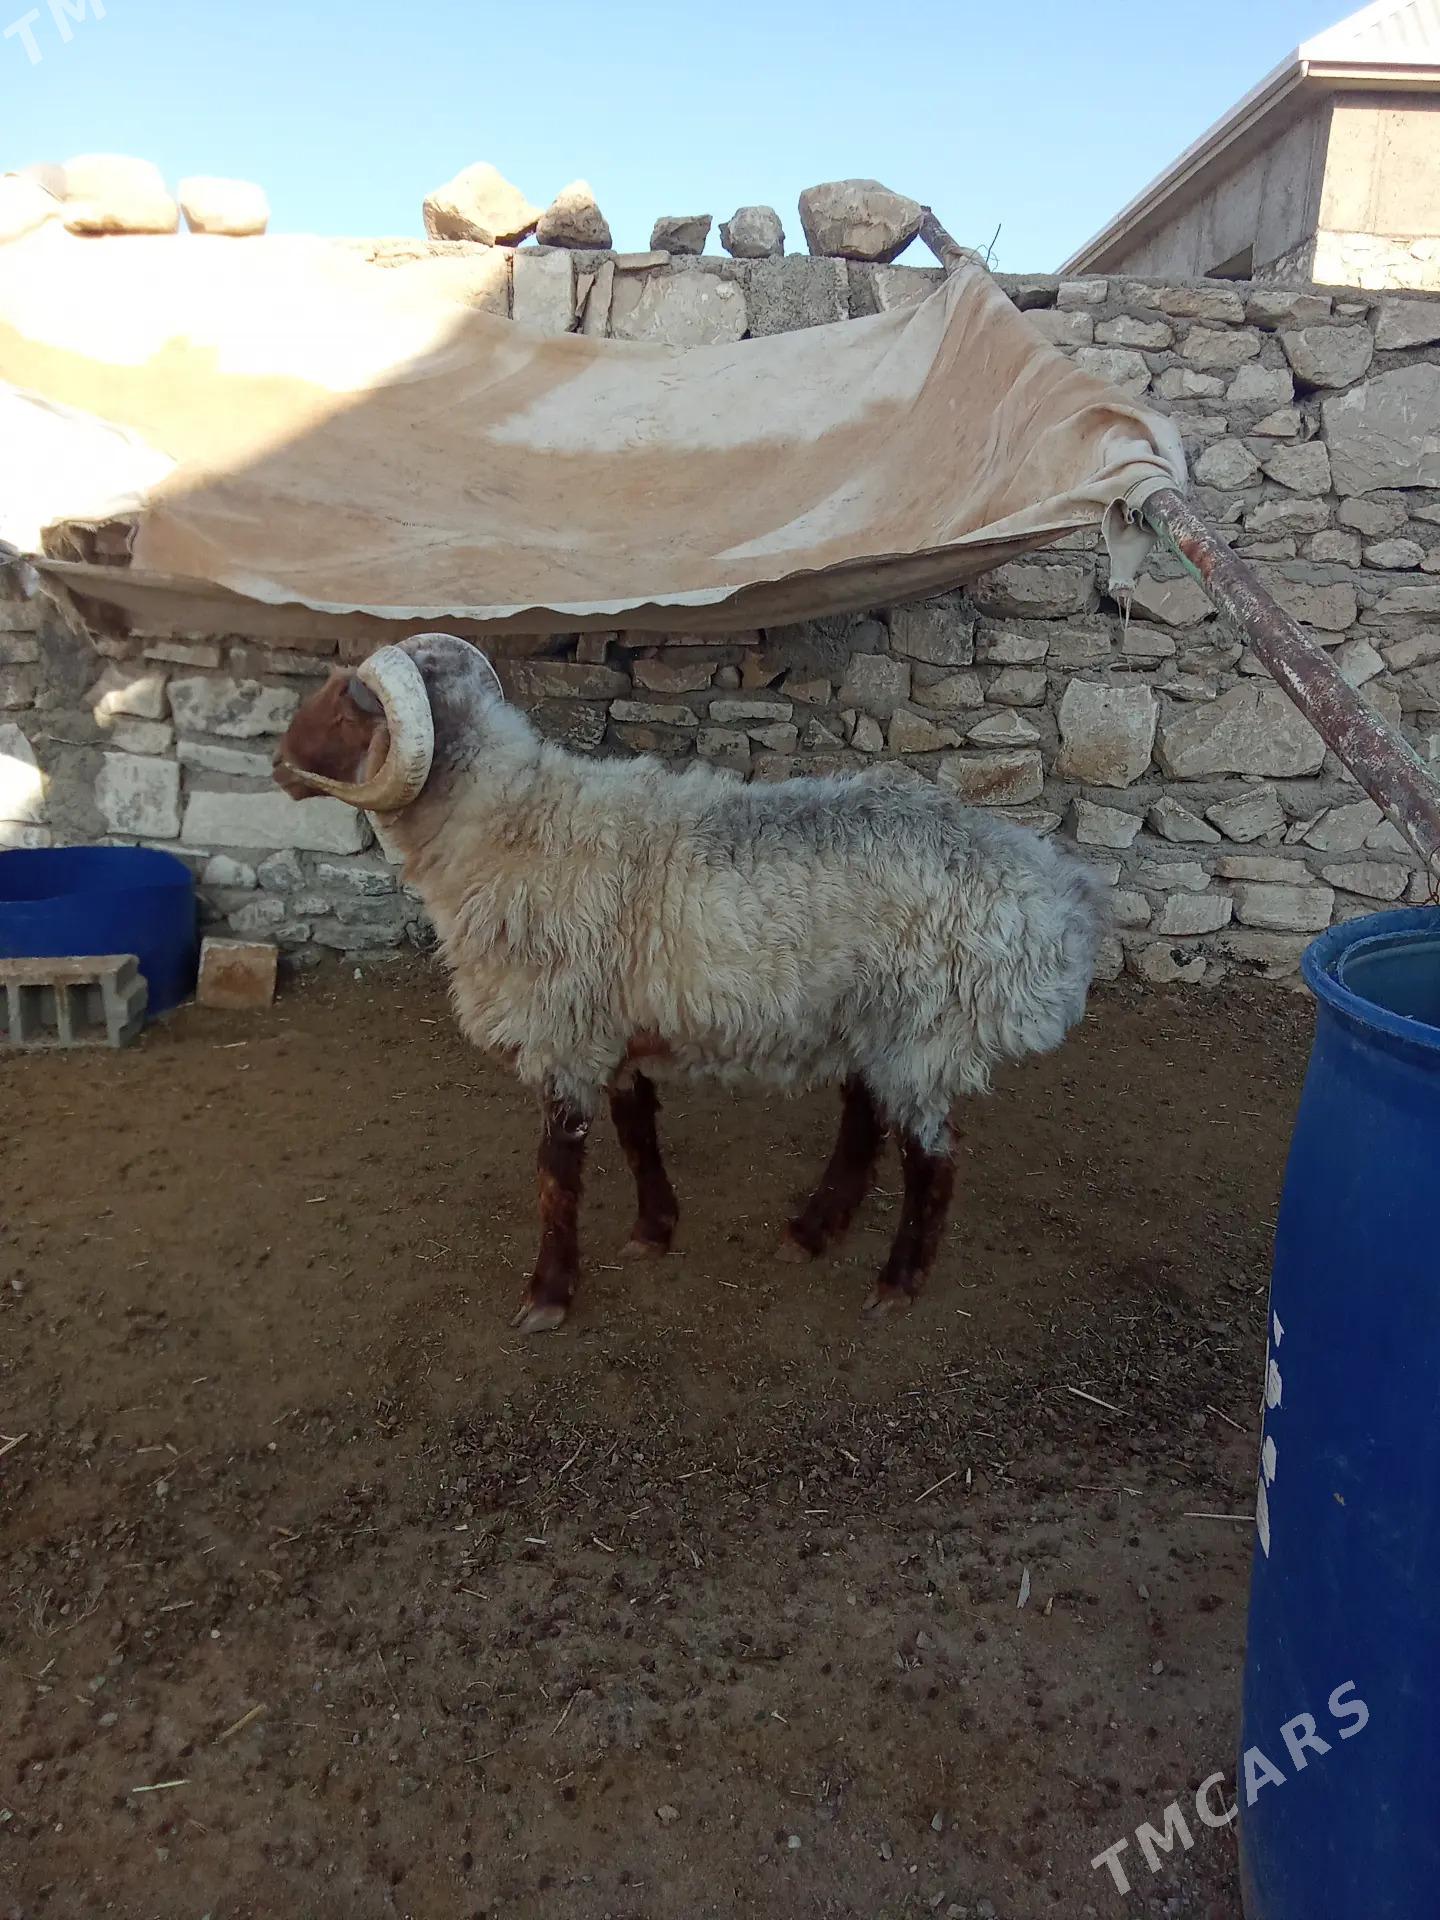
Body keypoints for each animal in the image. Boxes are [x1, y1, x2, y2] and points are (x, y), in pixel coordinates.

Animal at [275, 631, 1107, 1332]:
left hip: (925, 1030)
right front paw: (653, 1230)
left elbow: (556, 1174)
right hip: (869, 1019)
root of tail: (1058, 901)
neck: (513, 827)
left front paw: (548, 1295)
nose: (277, 765)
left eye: (346, 699)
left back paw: (896, 1283)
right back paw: (812, 1232)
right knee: (864, 1124)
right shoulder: (609, 1026)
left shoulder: (564, 1034)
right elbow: (637, 1133)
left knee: (932, 1159)